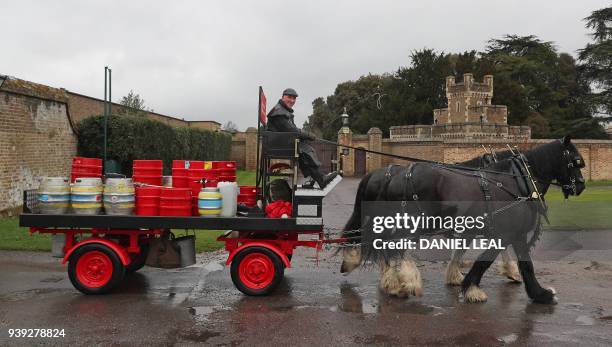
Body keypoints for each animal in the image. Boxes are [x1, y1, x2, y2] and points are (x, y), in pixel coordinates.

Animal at [342, 137, 584, 306]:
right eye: (576, 162)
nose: (581, 186)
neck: (516, 181)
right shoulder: (508, 231)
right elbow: (492, 261)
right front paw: (473, 288)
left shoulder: (495, 231)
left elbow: (469, 253)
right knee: (393, 250)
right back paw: (402, 282)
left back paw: (392, 281)